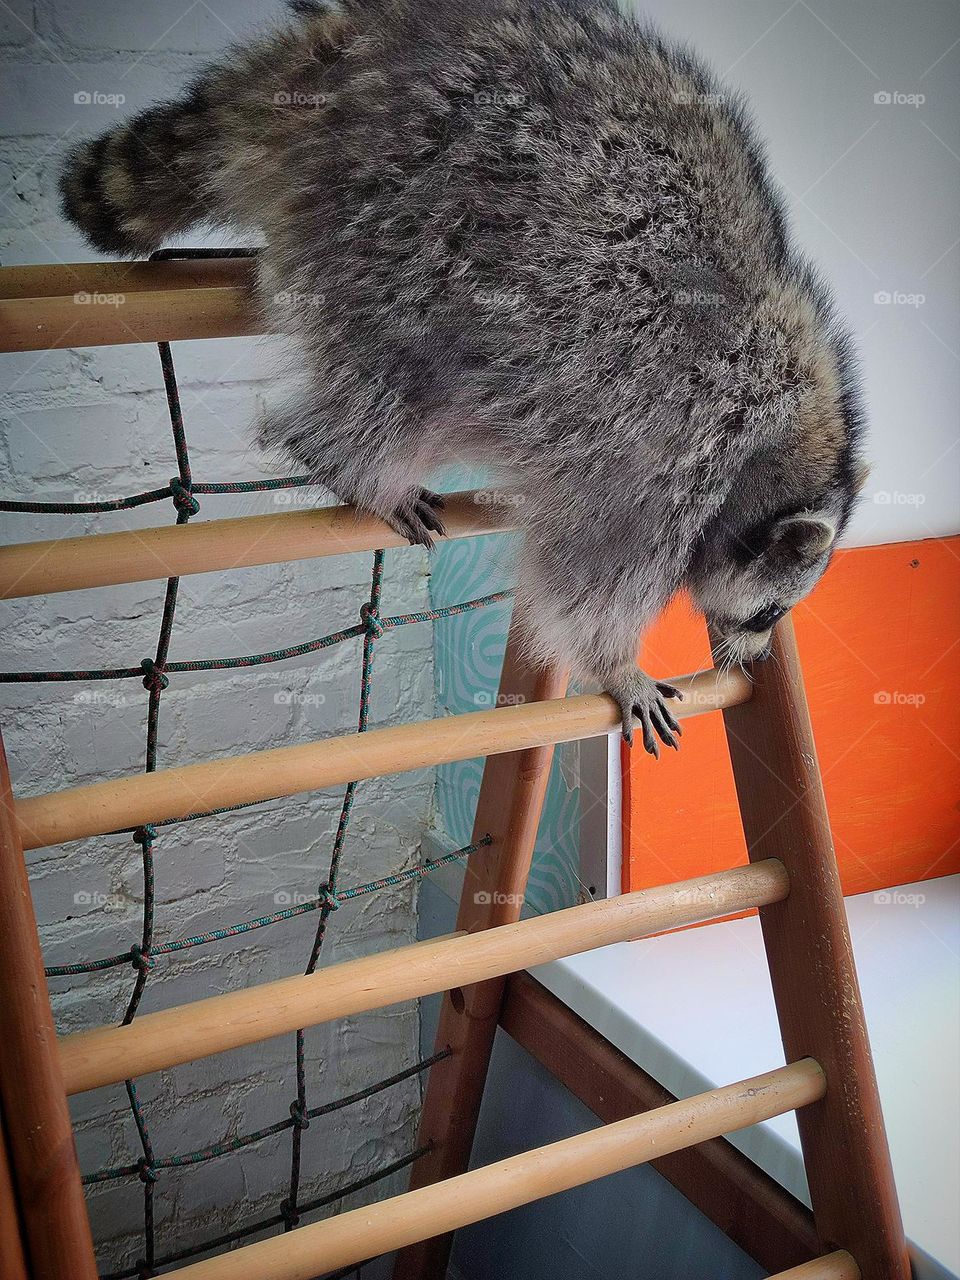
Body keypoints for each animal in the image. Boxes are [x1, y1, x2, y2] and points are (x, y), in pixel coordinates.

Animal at [62, 0, 870, 752]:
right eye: (772, 611)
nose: (752, 658)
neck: (779, 452)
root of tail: (359, 41)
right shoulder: (667, 460)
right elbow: (590, 577)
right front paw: (616, 666)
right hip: (401, 201)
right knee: (397, 366)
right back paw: (354, 460)